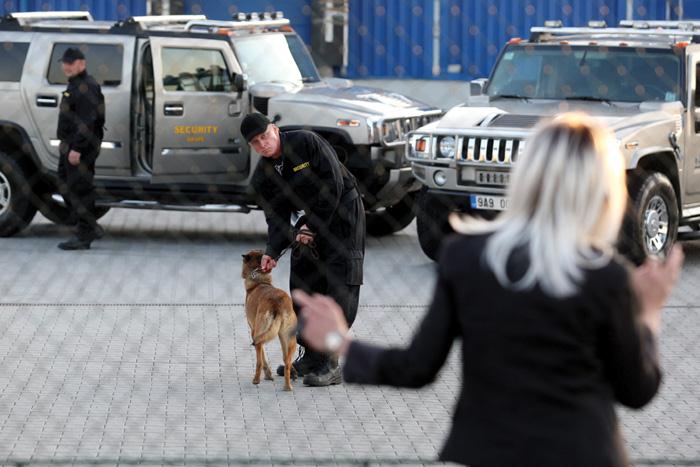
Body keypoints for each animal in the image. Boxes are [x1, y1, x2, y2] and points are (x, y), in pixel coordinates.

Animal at [242, 250, 296, 390]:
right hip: (289, 338)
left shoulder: (254, 331)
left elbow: (263, 357)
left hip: (259, 334)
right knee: (287, 362)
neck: (259, 281)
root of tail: (277, 303)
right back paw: (288, 386)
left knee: (259, 361)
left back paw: (256, 380)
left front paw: (267, 374)